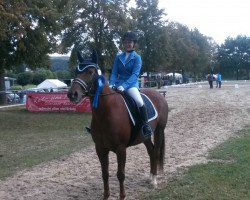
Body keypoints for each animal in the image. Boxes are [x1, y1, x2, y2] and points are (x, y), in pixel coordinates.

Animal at [67, 50, 168, 199]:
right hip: (145, 136)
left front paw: (122, 196)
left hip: (159, 131)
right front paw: (106, 196)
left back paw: (154, 180)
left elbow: (120, 174)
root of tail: (158, 94)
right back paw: (150, 177)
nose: (72, 94)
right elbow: (105, 174)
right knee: (151, 150)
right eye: (76, 71)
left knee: (155, 151)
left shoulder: (121, 149)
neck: (105, 112)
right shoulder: (100, 148)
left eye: (90, 72)